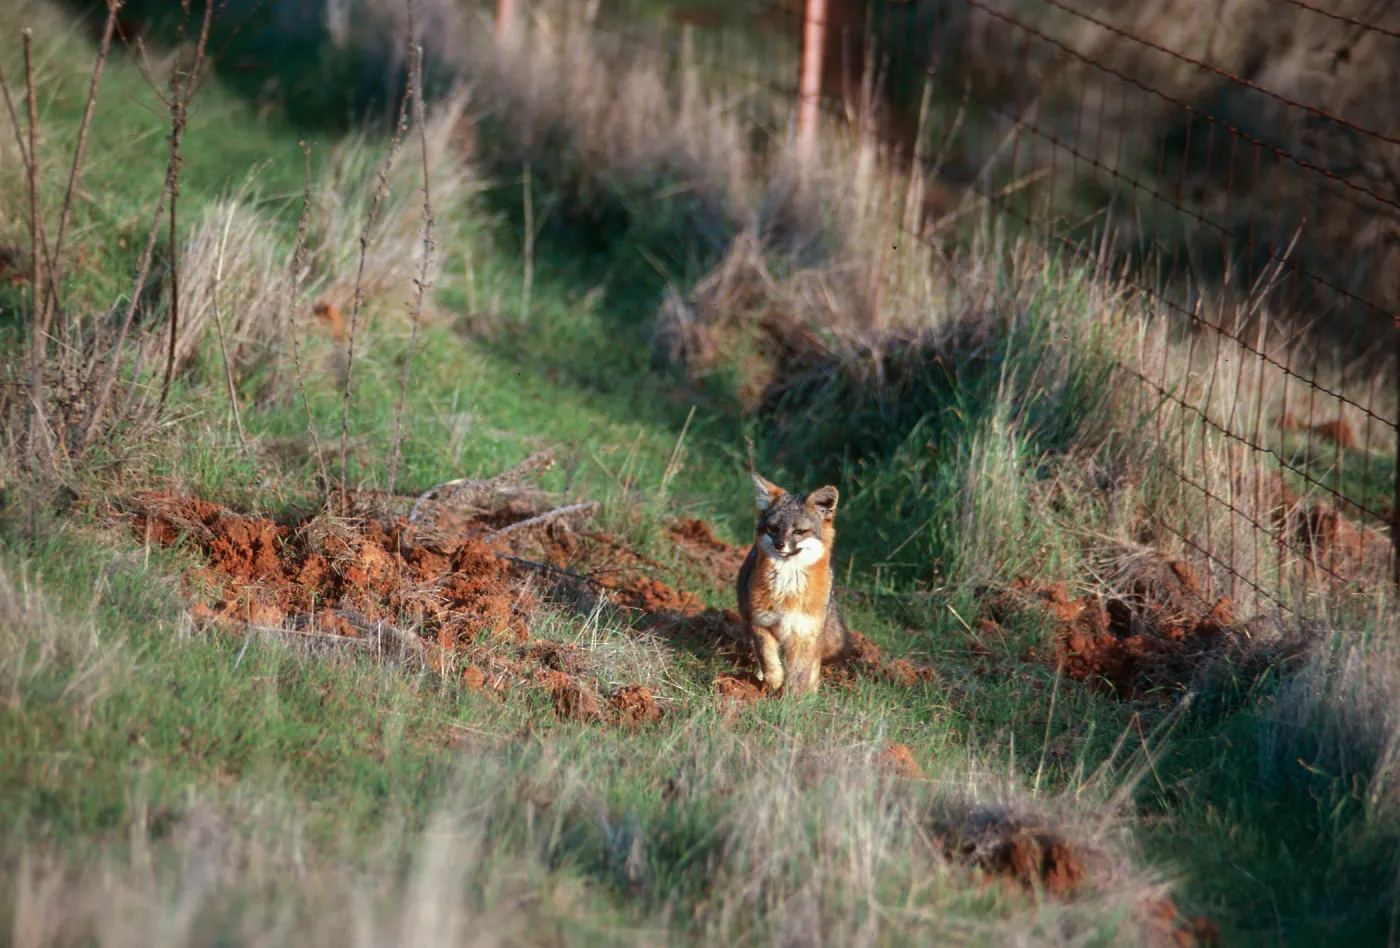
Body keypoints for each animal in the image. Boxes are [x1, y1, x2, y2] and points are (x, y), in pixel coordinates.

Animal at [736, 472, 851, 695]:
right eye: (773, 529)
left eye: (799, 531)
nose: (779, 545)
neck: (787, 591)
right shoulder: (761, 624)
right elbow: (769, 660)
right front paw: (773, 683)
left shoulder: (804, 635)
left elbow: (799, 675)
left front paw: (793, 701)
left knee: (813, 667)